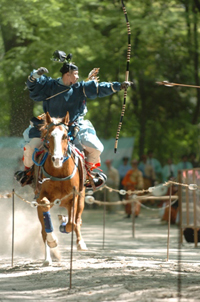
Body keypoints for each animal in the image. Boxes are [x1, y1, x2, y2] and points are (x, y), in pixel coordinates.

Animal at [35, 112, 87, 266]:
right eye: (48, 136)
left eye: (64, 136)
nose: (57, 159)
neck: (59, 173)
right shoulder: (42, 196)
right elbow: (44, 206)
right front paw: (53, 241)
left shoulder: (74, 197)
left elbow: (72, 223)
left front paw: (65, 225)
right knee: (43, 230)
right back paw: (47, 258)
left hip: (80, 199)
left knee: (77, 220)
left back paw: (80, 243)